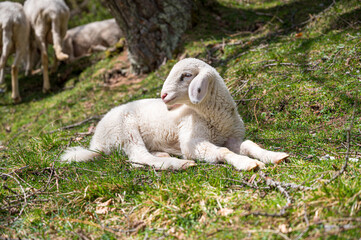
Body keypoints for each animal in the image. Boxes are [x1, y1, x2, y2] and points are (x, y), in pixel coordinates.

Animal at [60, 58, 288, 171]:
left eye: (186, 75)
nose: (163, 95)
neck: (215, 116)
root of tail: (96, 142)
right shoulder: (192, 142)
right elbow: (223, 152)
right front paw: (247, 164)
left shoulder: (232, 137)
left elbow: (249, 144)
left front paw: (274, 156)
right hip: (124, 130)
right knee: (139, 157)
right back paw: (179, 164)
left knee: (138, 159)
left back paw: (163, 154)